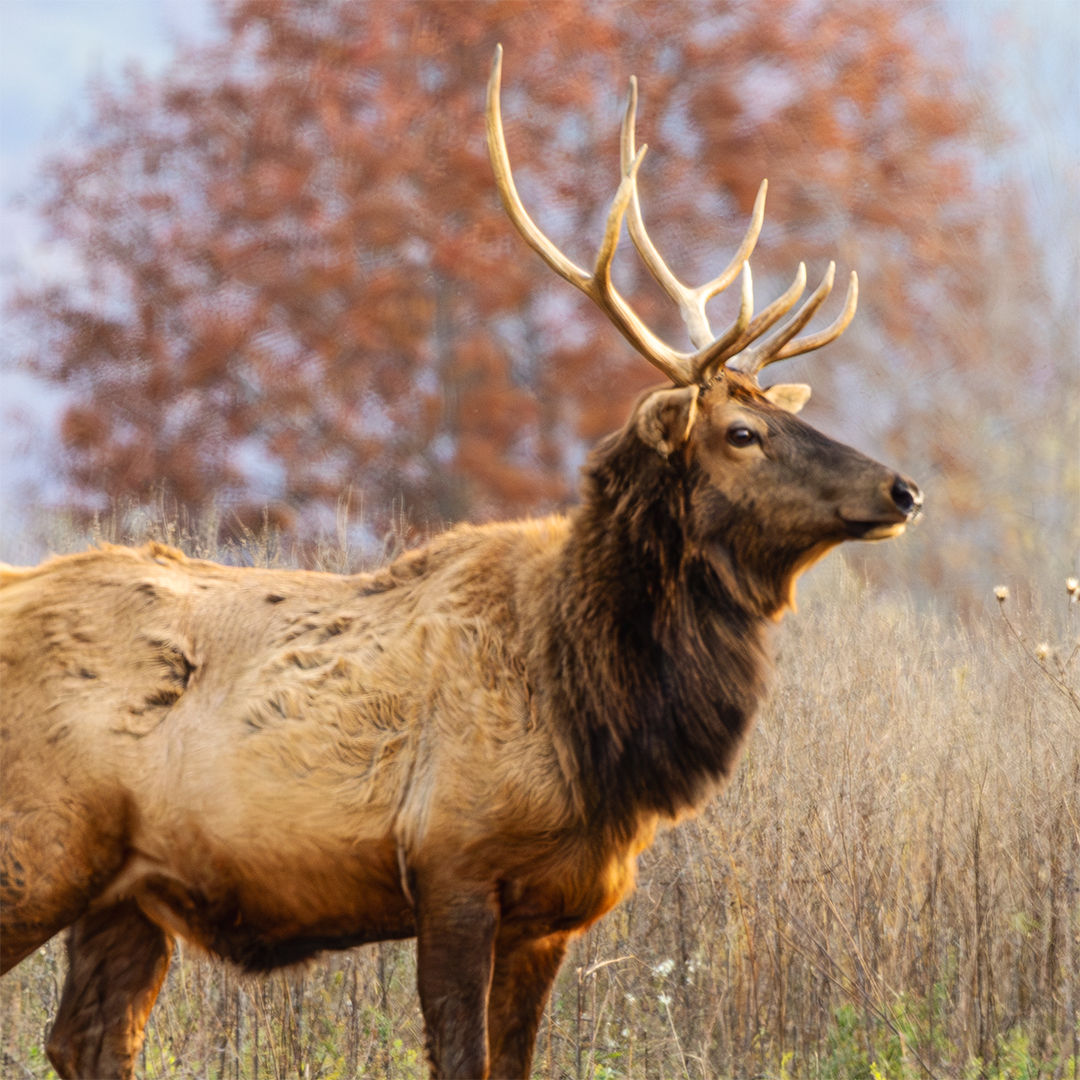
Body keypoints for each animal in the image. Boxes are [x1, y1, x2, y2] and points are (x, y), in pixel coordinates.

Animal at [0, 47, 921, 1080]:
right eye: (741, 431)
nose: (900, 489)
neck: (593, 720)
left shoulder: (552, 910)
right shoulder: (454, 868)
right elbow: (459, 1053)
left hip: (125, 891)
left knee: (88, 1037)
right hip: (36, 848)